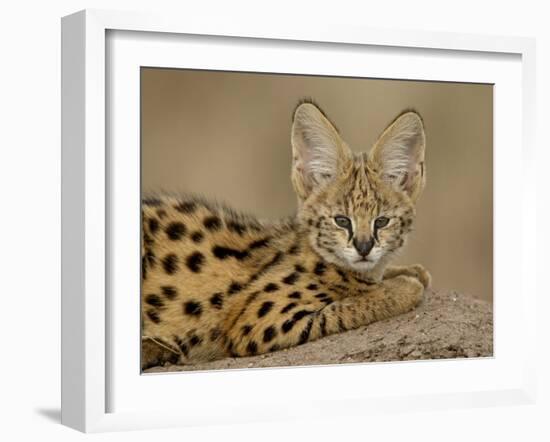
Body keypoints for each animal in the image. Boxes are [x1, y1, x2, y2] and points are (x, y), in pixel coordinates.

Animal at [141, 100, 432, 370]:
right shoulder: (258, 322)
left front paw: (410, 271)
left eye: (381, 221)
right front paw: (403, 286)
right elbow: (347, 307)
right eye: (341, 221)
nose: (364, 247)